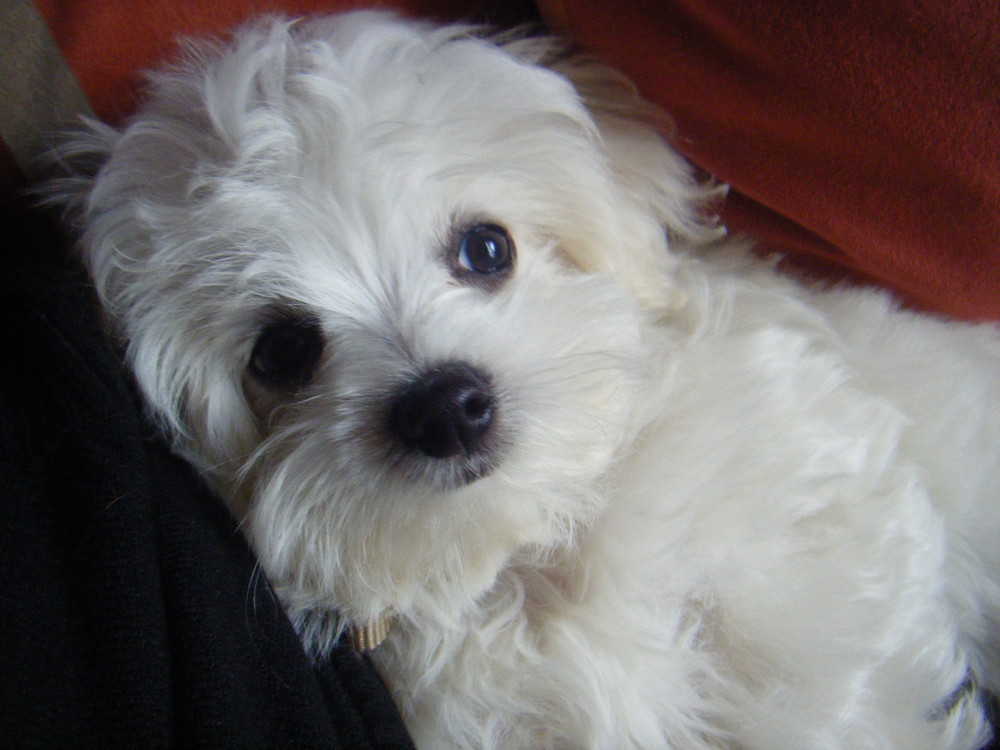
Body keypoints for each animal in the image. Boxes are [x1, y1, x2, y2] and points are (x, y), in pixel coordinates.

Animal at [48, 11, 1000, 750]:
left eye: (488, 248)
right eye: (281, 353)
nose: (443, 408)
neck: (533, 550)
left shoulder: (823, 548)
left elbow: (821, 690)